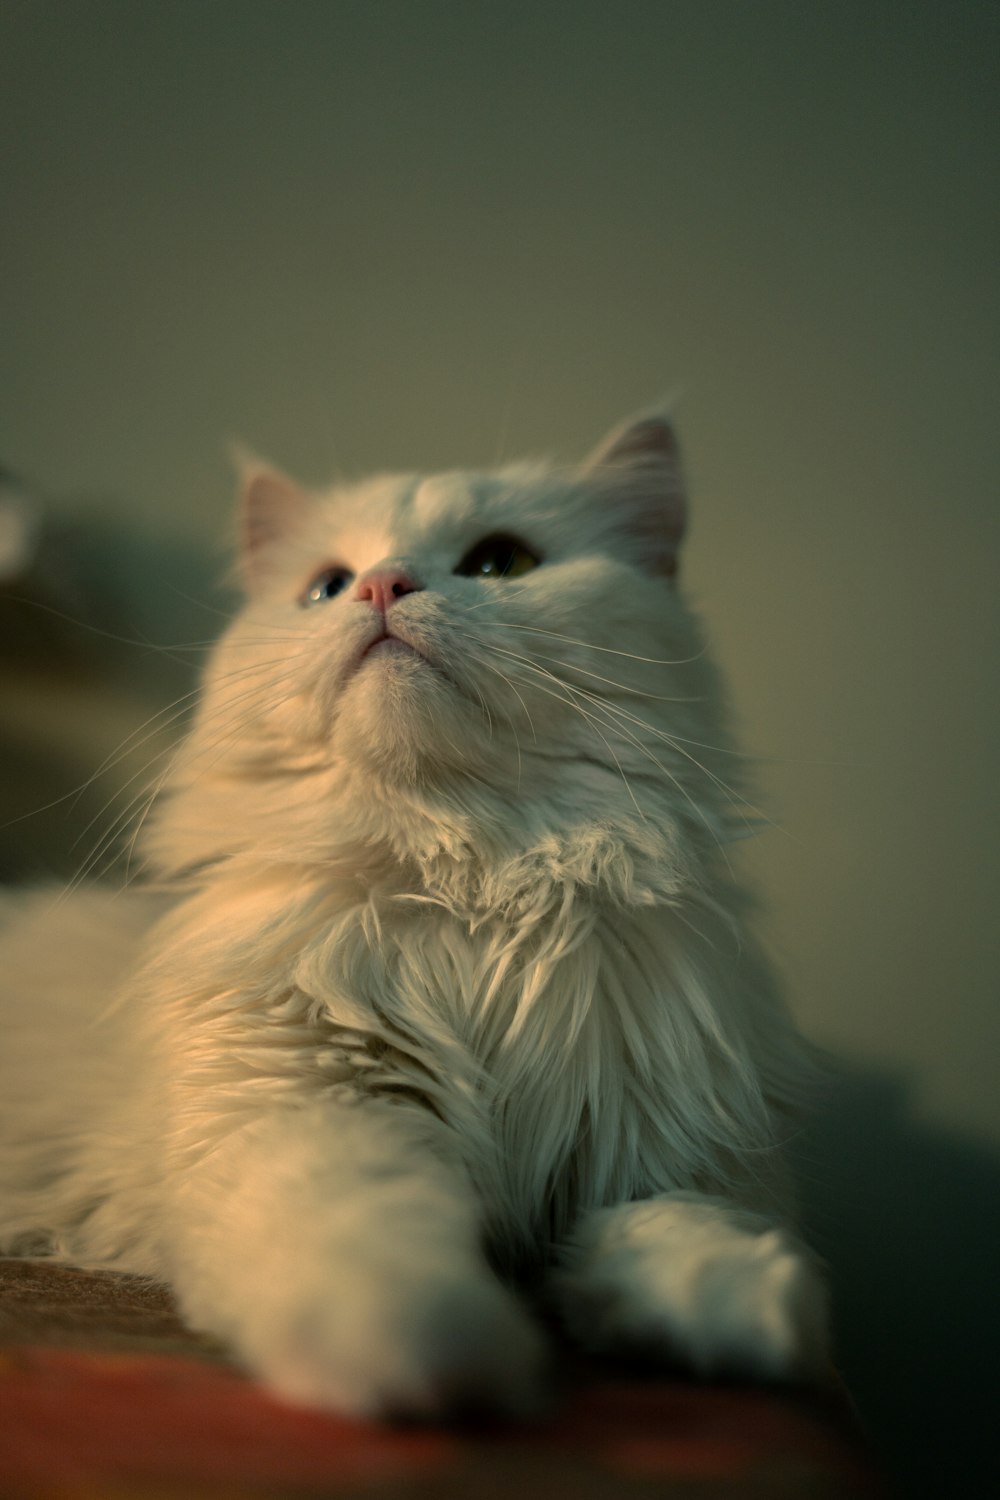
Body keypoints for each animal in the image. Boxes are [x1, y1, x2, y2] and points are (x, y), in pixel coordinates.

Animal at [0, 414, 827, 1416]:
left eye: (502, 562)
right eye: (325, 586)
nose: (383, 584)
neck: (468, 890)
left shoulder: (659, 1157)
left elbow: (691, 1234)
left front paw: (745, 1322)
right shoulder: (307, 1109)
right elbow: (381, 1252)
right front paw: (444, 1362)